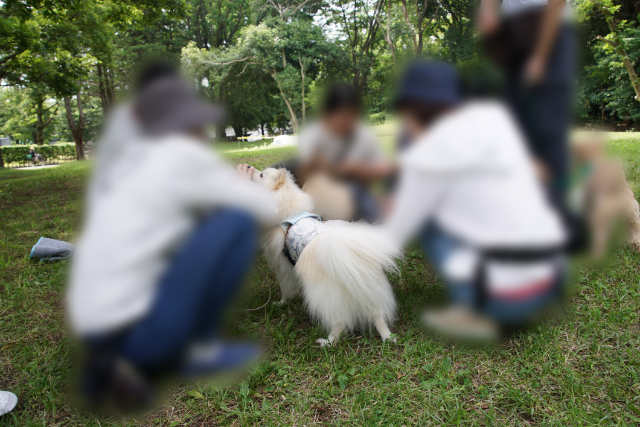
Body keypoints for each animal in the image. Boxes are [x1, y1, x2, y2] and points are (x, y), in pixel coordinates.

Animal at [251, 169, 398, 346]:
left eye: (262, 175)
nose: (250, 168)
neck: (292, 213)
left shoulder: (283, 268)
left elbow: (285, 289)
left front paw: (280, 303)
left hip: (327, 297)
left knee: (339, 323)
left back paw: (328, 342)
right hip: (368, 290)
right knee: (377, 314)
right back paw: (387, 336)